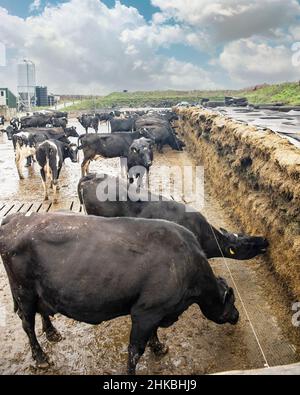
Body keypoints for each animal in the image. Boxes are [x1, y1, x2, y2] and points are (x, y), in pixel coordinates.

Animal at [0, 213, 239, 374]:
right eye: (231, 301)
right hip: (23, 291)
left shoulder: (157, 311)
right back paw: (41, 357)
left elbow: (152, 335)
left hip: (39, 292)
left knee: (42, 311)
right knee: (27, 324)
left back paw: (51, 332)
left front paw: (158, 347)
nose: (237, 315)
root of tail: (15, 219)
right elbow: (135, 350)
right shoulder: (146, 311)